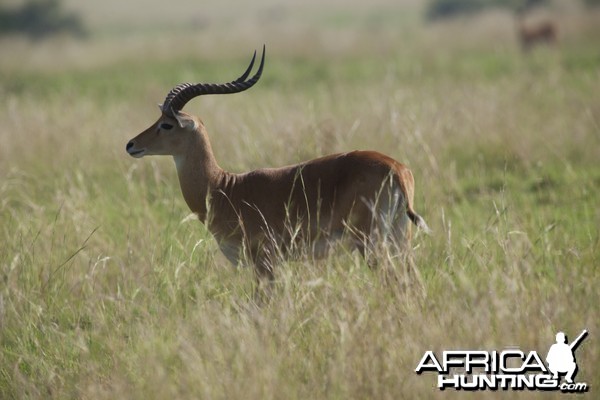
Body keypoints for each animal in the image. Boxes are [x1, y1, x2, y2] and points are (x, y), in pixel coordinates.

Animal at [124, 47, 428, 282]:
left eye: (167, 124)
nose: (131, 144)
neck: (224, 188)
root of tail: (396, 168)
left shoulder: (264, 262)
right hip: (399, 238)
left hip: (371, 243)